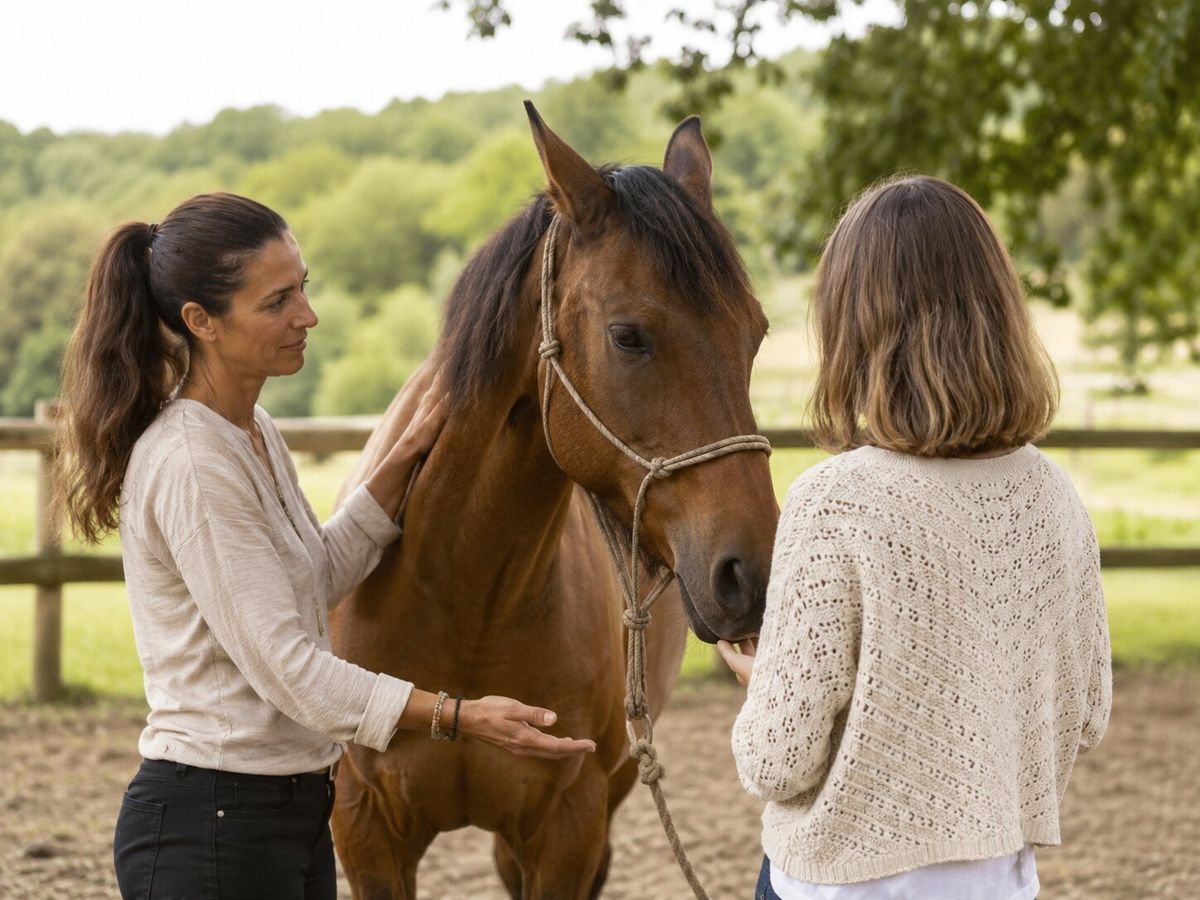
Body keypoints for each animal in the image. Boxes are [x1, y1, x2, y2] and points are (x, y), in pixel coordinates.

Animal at [328, 102, 779, 899]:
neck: (461, 592)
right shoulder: (366, 828)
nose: (752, 574)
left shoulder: (569, 823)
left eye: (754, 335)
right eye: (628, 336)